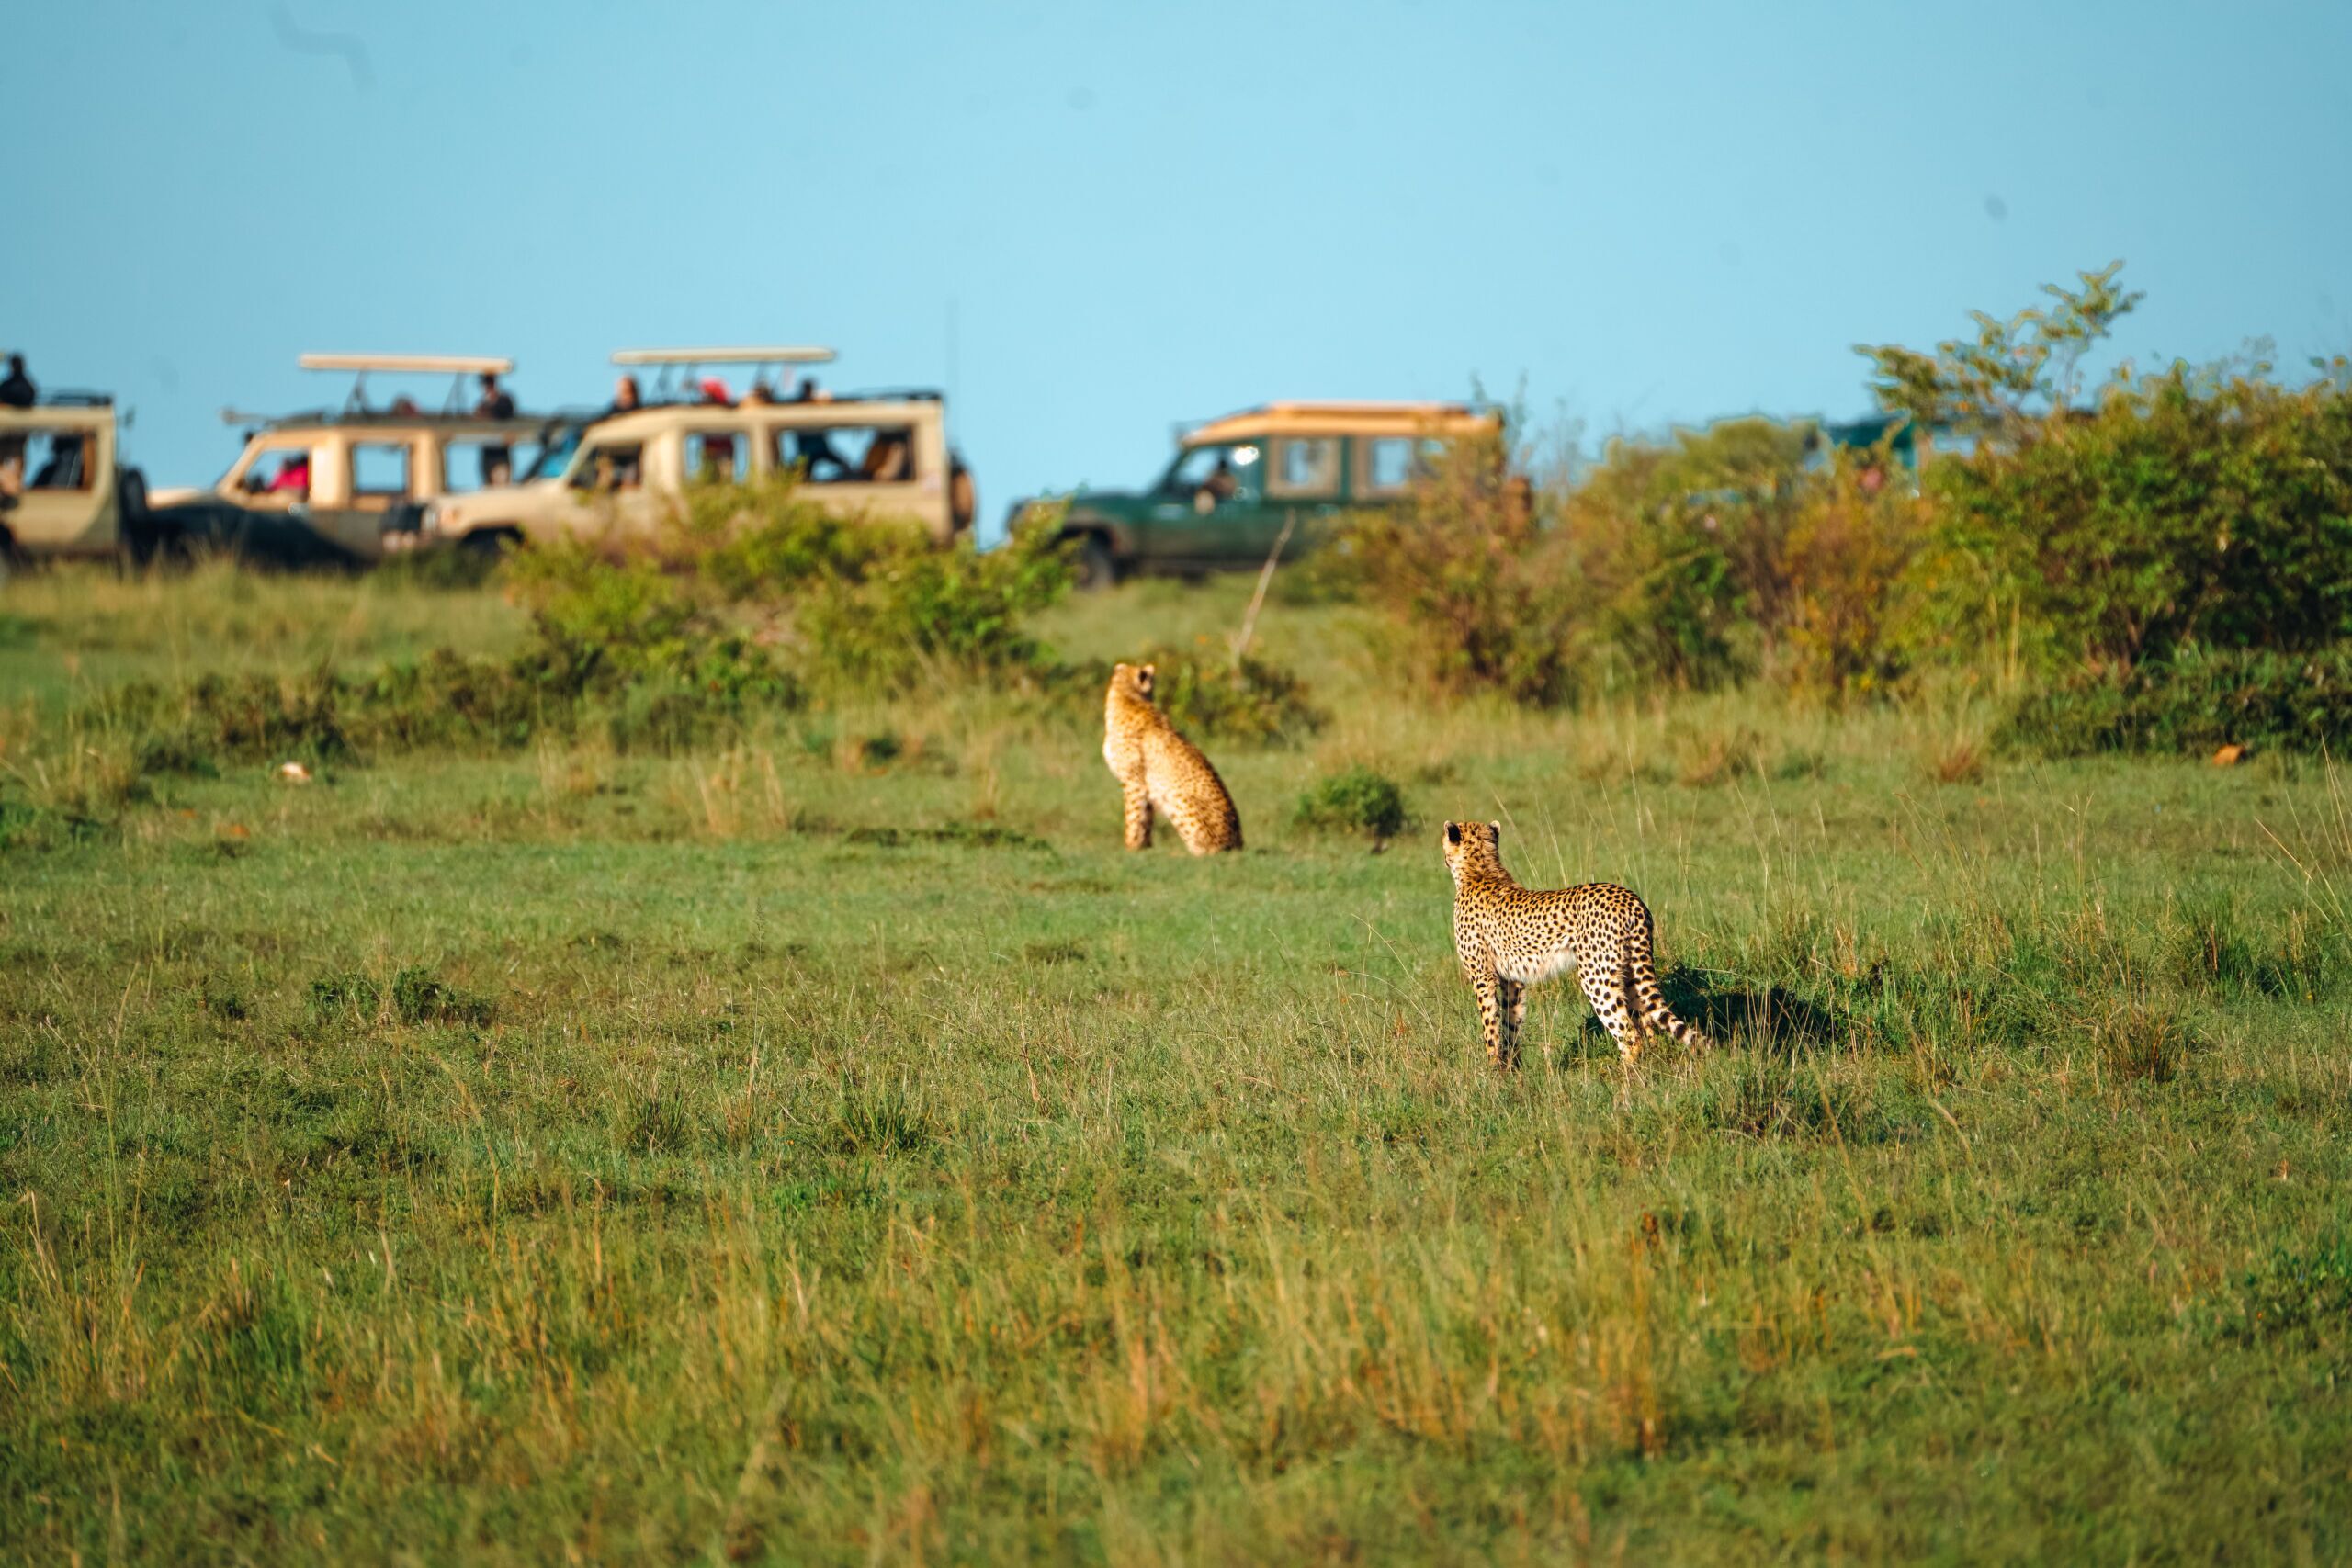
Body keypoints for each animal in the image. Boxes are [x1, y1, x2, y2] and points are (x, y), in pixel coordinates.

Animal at [1103, 662, 1243, 855]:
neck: (1129, 697)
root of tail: (1238, 845)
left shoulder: (1134, 782)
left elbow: (1134, 818)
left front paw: (1130, 849)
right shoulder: (1144, 786)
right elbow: (1145, 820)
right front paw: (1145, 849)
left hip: (1178, 797)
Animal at [1441, 818, 1712, 1069]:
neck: (1480, 870)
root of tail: (1630, 898)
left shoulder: (1482, 976)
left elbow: (1490, 1027)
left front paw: (1493, 1072)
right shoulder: (1513, 979)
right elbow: (1511, 1024)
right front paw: (1512, 1071)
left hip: (1596, 976)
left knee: (1629, 1034)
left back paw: (1622, 1079)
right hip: (1629, 972)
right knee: (1647, 1026)